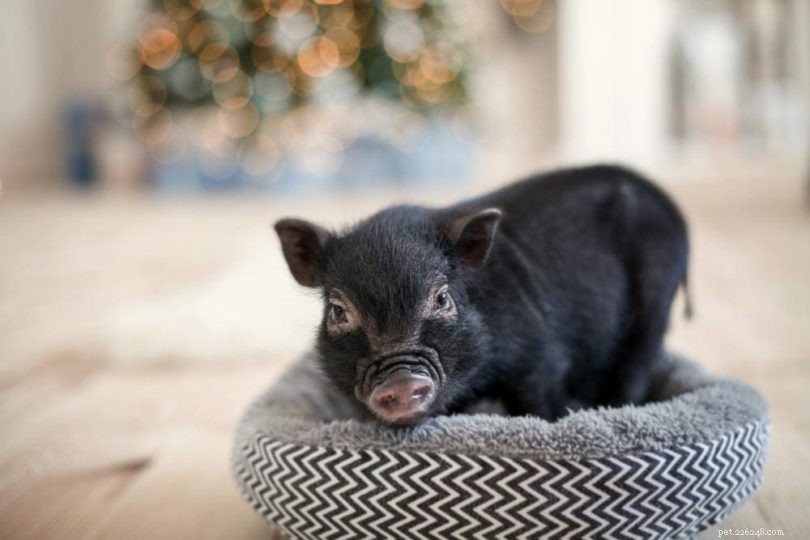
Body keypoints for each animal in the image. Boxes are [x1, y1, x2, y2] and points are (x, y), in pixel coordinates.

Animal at [274, 165, 690, 425]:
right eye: (338, 311)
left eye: (442, 298)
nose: (402, 382)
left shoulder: (538, 359)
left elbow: (539, 403)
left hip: (656, 297)